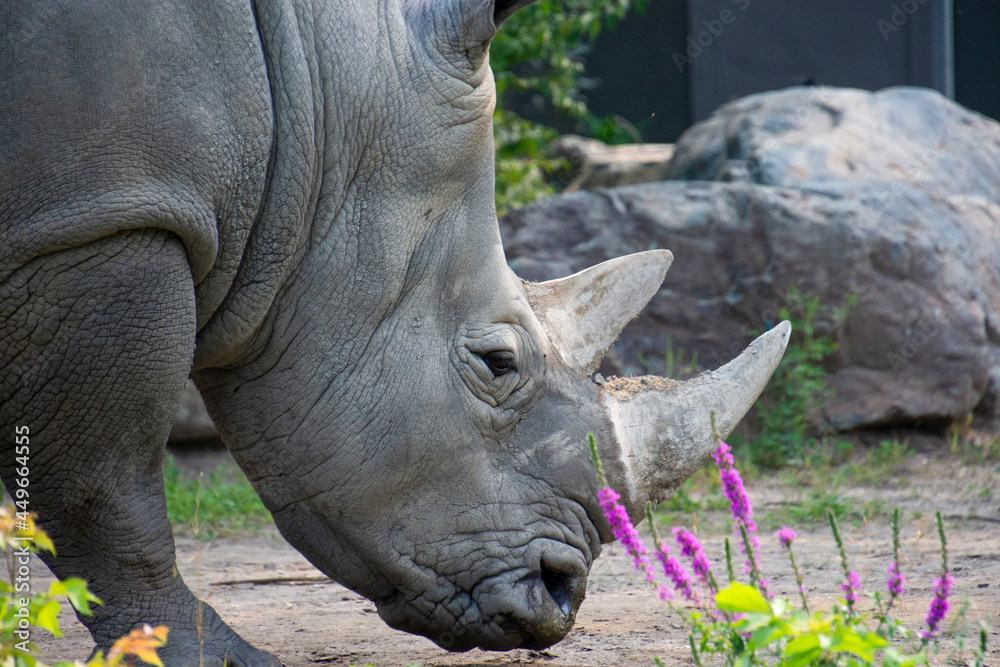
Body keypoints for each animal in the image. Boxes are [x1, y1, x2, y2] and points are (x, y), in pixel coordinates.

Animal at [0, 0, 789, 664]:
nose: (560, 591)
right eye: (498, 362)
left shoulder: (87, 220)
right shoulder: (104, 221)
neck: (308, 107)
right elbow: (105, 485)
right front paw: (205, 655)